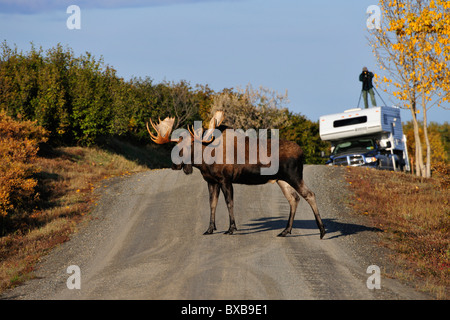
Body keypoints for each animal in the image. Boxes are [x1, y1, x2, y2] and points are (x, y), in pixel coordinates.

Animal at [148, 111, 326, 239]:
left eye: (189, 145)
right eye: (176, 145)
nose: (175, 165)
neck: (204, 160)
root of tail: (302, 152)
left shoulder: (225, 179)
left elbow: (229, 203)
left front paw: (231, 228)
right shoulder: (211, 181)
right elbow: (212, 204)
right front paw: (210, 229)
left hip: (294, 176)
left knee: (309, 194)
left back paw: (322, 231)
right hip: (282, 180)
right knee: (294, 199)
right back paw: (285, 231)